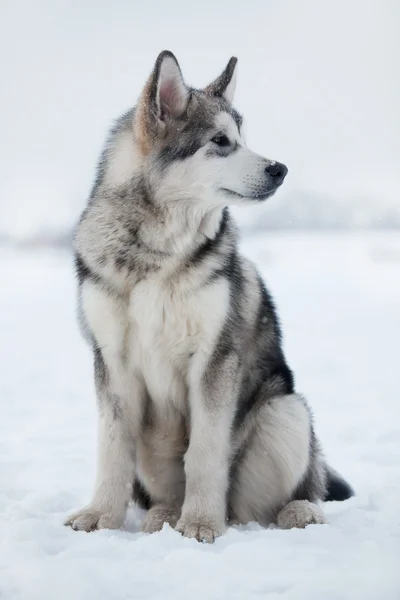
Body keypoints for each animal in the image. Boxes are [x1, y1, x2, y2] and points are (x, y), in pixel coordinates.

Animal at [66, 50, 354, 540]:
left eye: (243, 140)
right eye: (221, 141)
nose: (279, 169)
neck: (158, 253)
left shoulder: (214, 359)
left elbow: (203, 452)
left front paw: (201, 522)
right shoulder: (111, 360)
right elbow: (112, 449)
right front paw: (100, 516)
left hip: (286, 411)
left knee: (271, 501)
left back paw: (295, 512)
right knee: (166, 492)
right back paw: (163, 515)